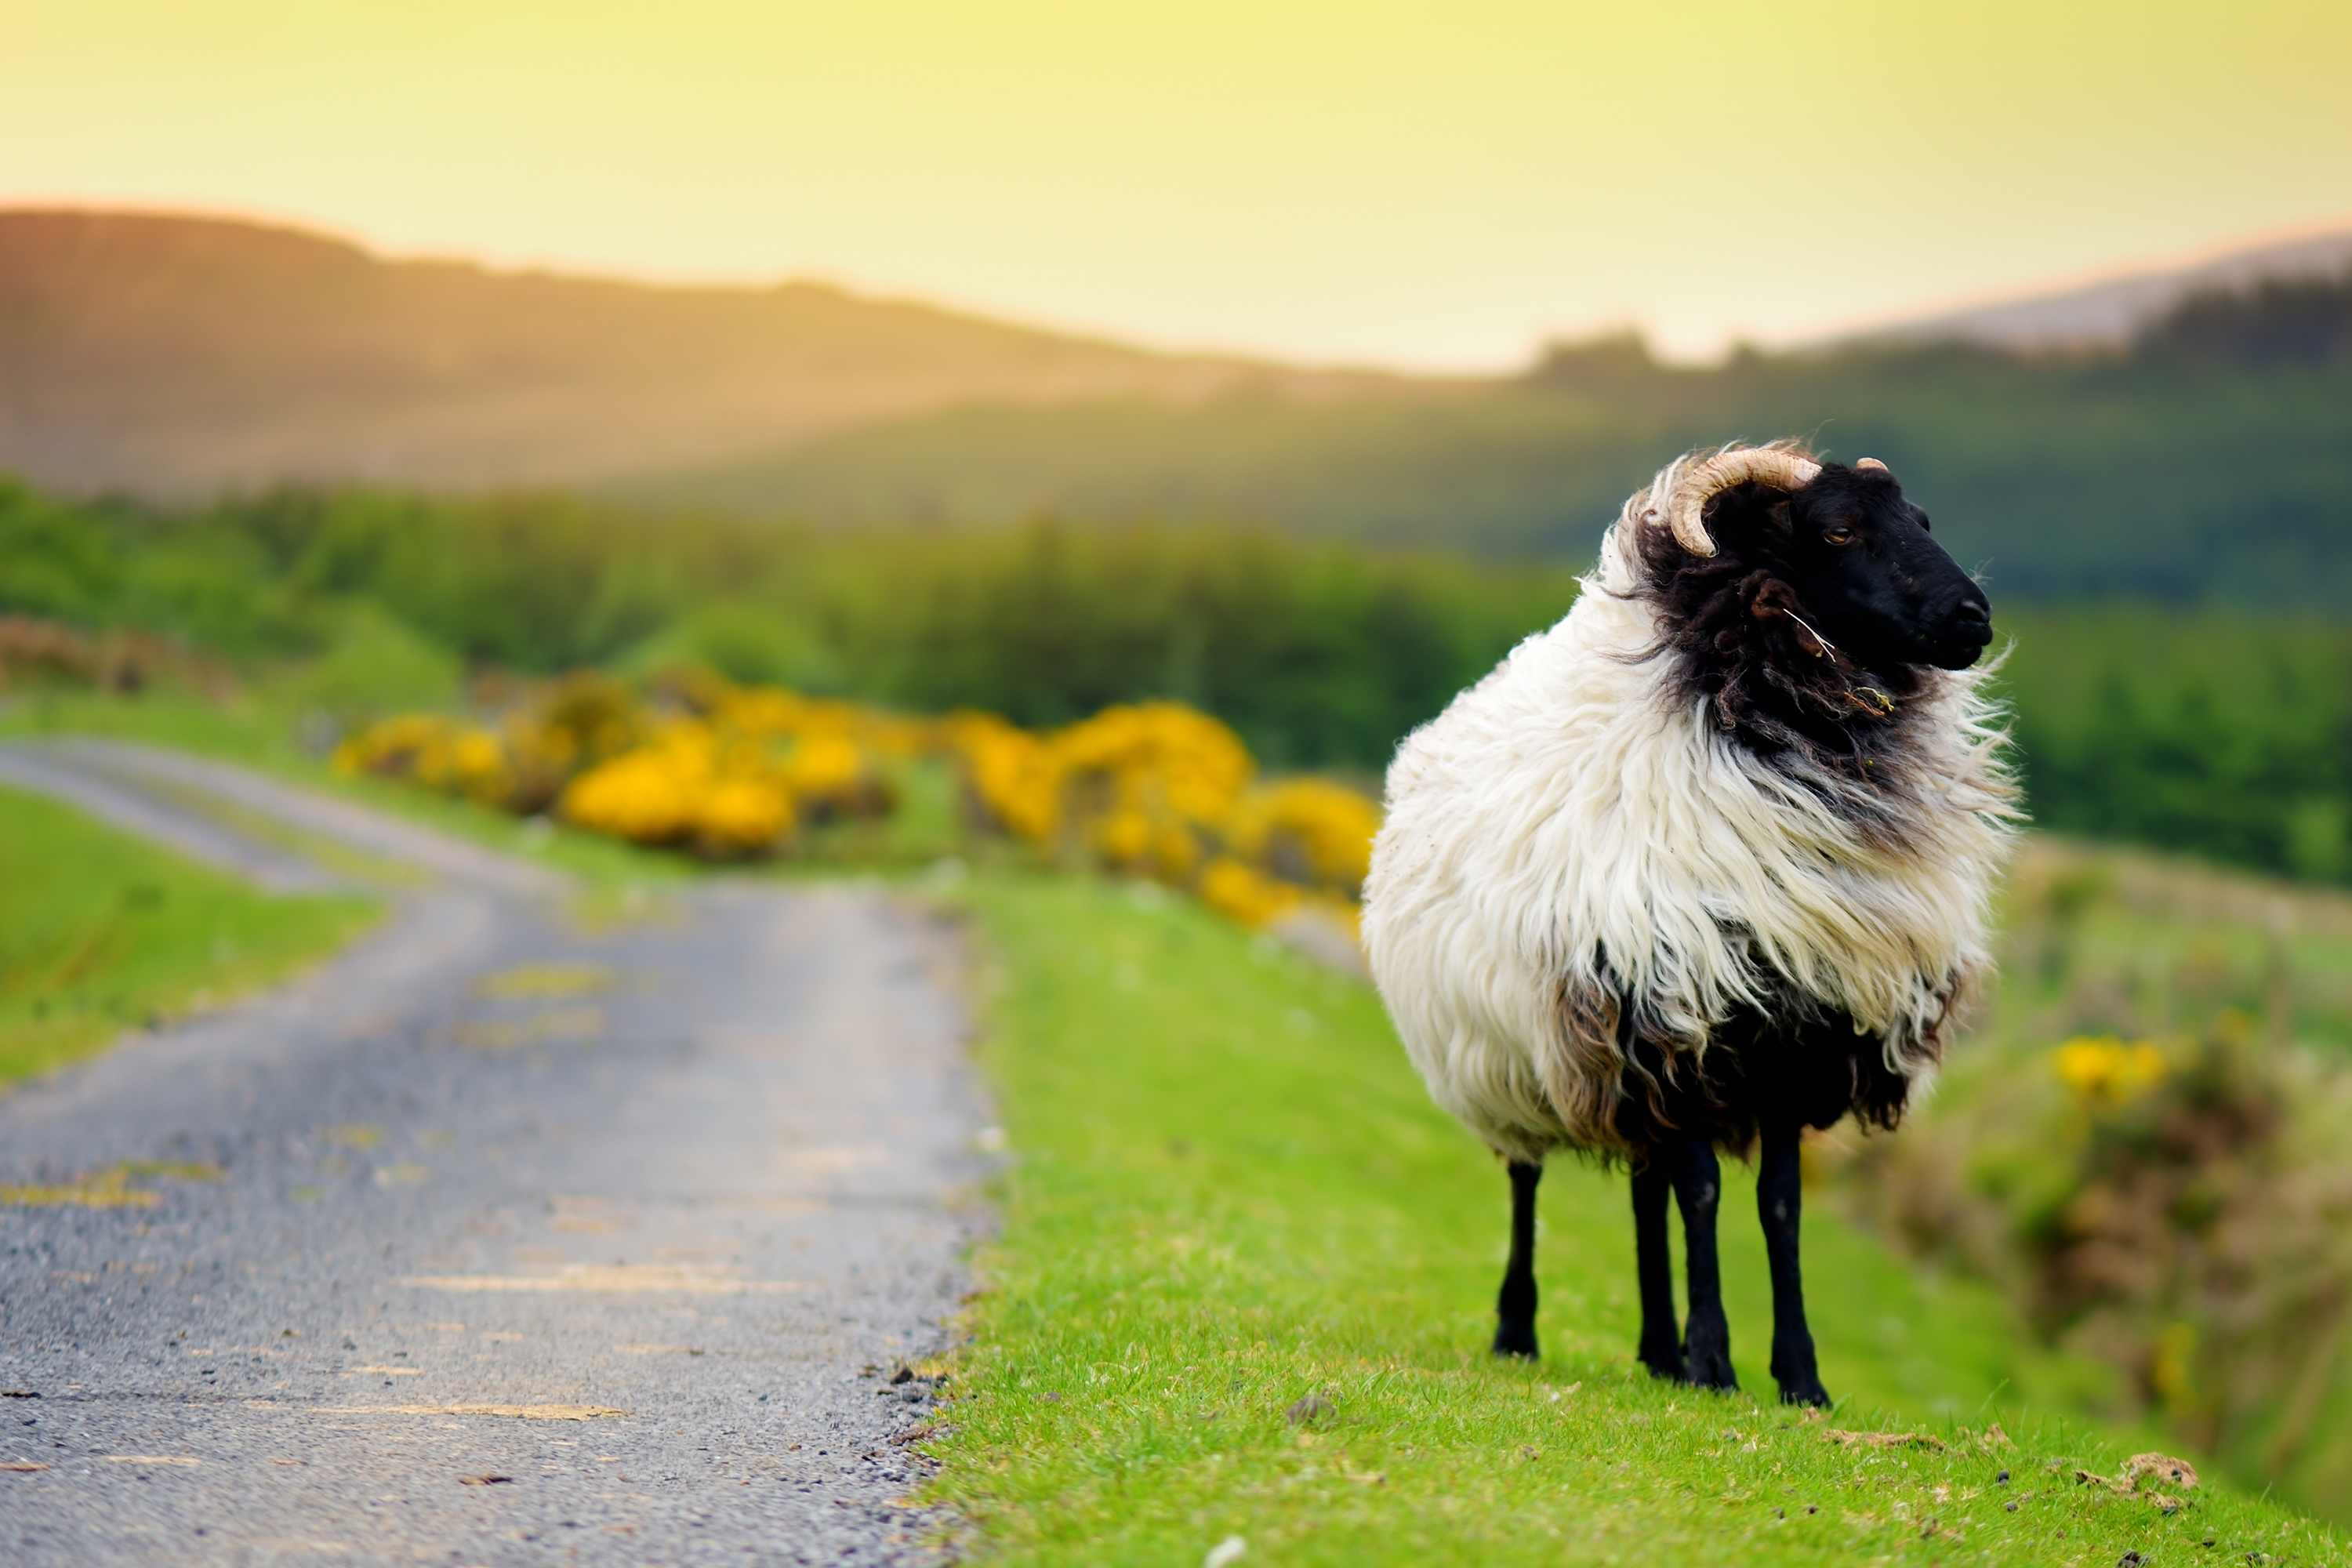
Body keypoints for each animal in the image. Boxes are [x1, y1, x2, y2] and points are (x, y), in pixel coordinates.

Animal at [1360, 443, 2014, 1404]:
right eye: (1838, 530)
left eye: (1923, 521)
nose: (1973, 614)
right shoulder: (1682, 1015)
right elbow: (1703, 1194)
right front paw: (1714, 1360)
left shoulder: (1794, 1031)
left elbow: (1778, 1206)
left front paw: (1797, 1376)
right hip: (1506, 1053)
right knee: (1528, 1180)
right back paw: (1520, 1329)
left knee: (1644, 1192)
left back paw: (1656, 1348)